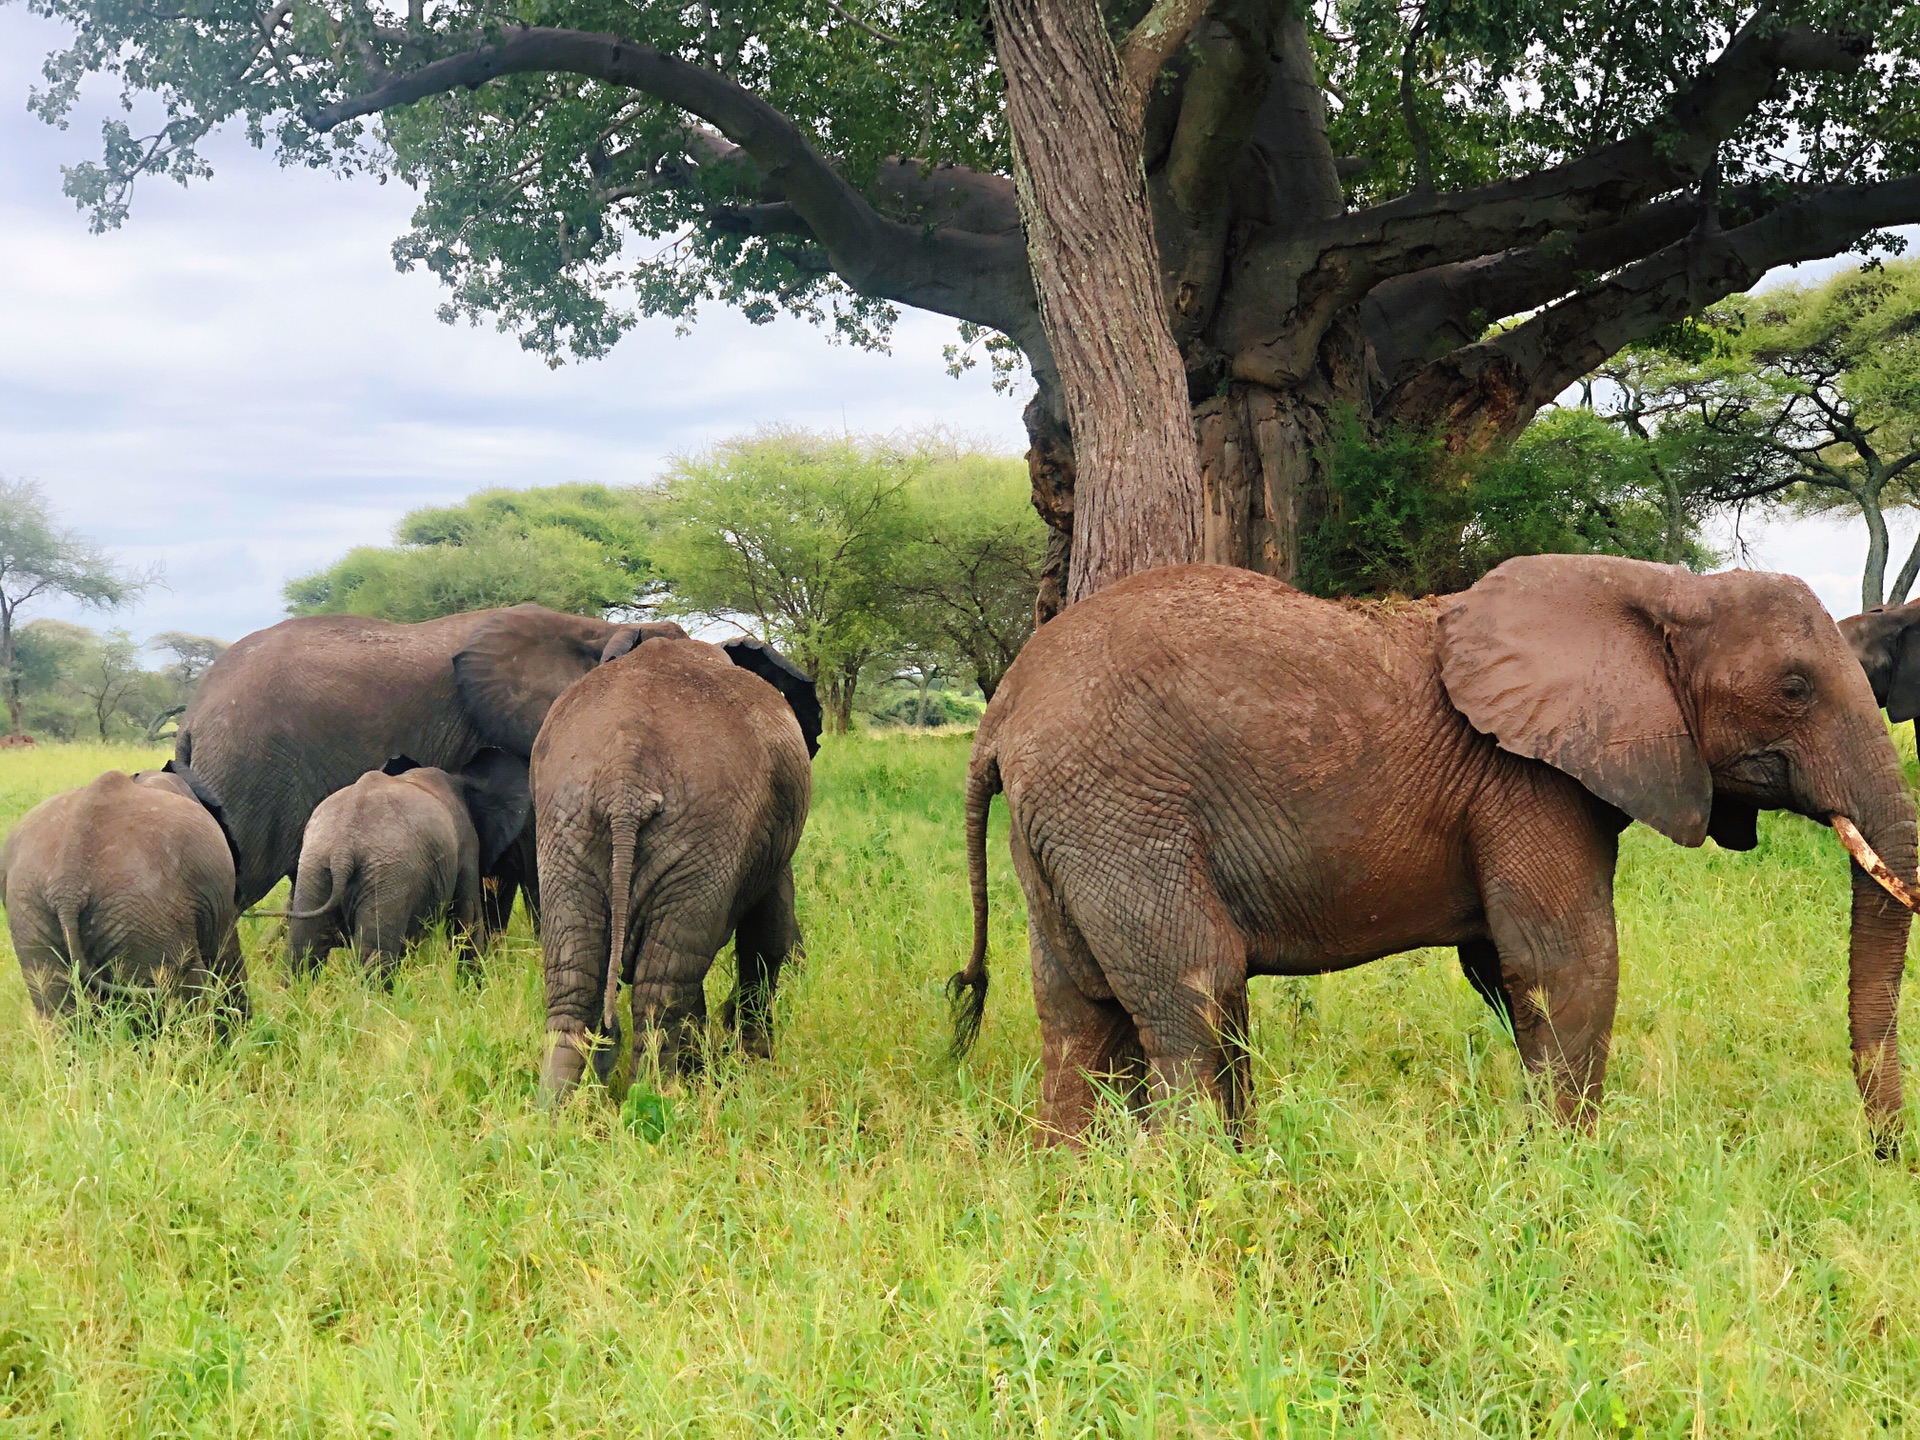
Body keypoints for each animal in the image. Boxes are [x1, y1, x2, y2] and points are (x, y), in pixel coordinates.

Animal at [0, 768, 251, 1029]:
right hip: (145, 916)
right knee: (179, 992)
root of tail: (68, 883)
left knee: (59, 1007)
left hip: (32, 916)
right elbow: (225, 953)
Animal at [280, 744, 533, 983]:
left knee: (303, 950)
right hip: (387, 878)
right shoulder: (467, 846)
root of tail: (342, 851)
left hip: (314, 869)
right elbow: (467, 919)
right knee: (375, 956)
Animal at [526, 637, 817, 1098]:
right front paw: (755, 1064)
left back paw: (557, 1109)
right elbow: (769, 934)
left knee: (577, 979)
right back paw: (659, 1100)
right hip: (706, 827)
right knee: (662, 989)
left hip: (567, 823)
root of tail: (625, 775)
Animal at [952, 556, 1920, 1159]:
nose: (1883, 1152)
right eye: (1794, 688)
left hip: (1067, 826)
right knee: (1197, 987)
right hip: (1121, 806)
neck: (1659, 590)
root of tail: (1002, 713)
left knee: (1079, 1008)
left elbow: (1504, 967)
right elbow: (1566, 964)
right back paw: (1196, 1180)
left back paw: (1072, 1180)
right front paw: (1564, 1172)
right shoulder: (1524, 779)